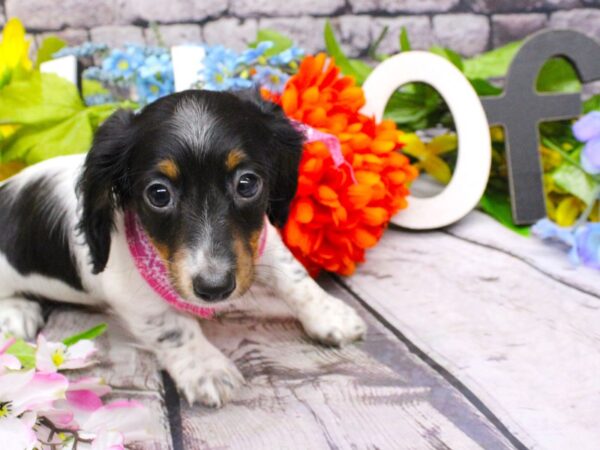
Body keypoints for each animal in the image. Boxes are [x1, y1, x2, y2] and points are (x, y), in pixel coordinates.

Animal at [0, 90, 366, 408]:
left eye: (247, 183)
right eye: (158, 194)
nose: (215, 289)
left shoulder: (258, 242)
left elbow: (293, 275)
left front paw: (330, 315)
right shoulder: (133, 293)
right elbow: (173, 328)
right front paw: (208, 369)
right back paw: (17, 312)